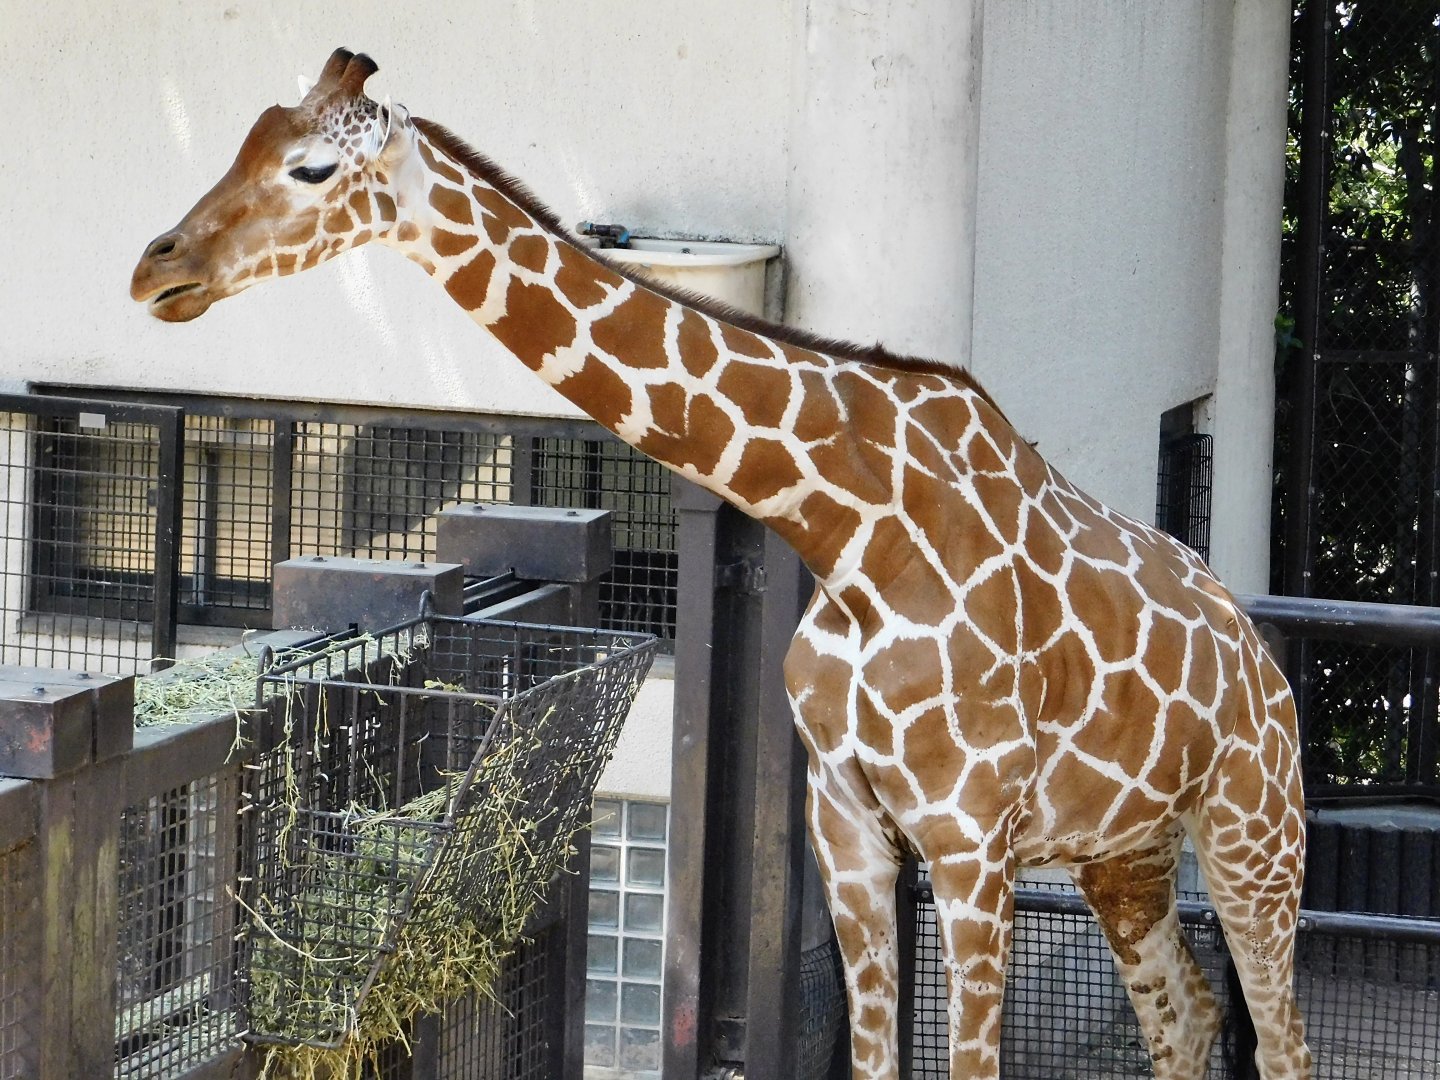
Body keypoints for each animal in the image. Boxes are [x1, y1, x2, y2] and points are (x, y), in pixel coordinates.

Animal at [130, 49, 1311, 1079]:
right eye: (244, 138)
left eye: (310, 168)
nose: (156, 268)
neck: (851, 531)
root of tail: (1264, 660)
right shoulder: (848, 827)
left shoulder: (970, 845)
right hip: (1129, 852)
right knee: (1188, 1017)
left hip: (1254, 839)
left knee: (1280, 1037)